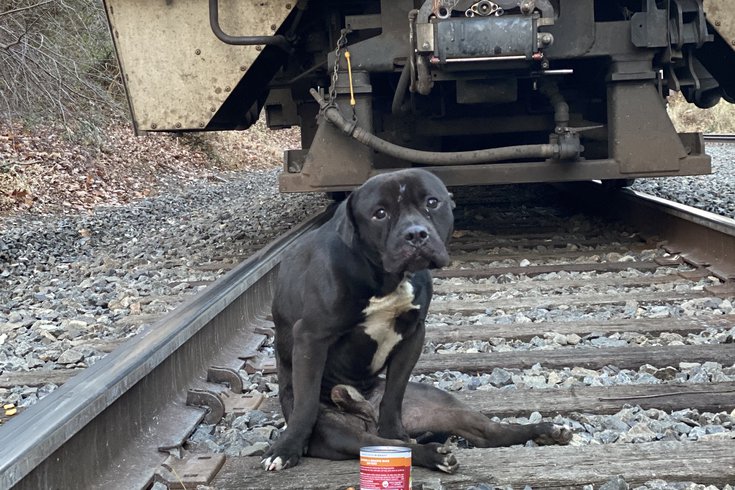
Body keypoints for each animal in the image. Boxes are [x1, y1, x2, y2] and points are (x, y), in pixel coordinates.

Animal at [262, 168, 572, 470]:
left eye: (432, 202)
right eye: (380, 213)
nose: (416, 234)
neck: (387, 279)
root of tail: (363, 406)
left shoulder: (413, 335)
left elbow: (394, 393)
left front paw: (393, 428)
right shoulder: (311, 338)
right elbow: (305, 403)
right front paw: (286, 449)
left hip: (444, 405)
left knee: (488, 433)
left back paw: (543, 430)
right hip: (338, 432)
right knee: (373, 440)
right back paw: (433, 454)